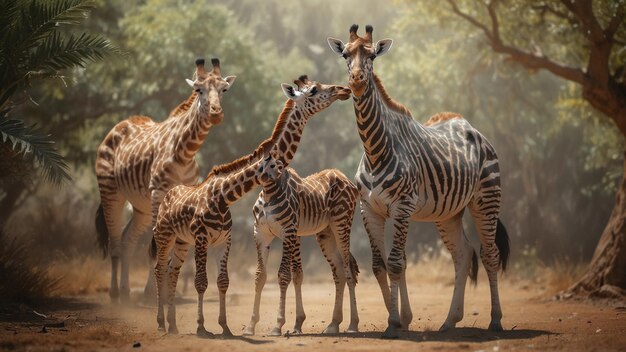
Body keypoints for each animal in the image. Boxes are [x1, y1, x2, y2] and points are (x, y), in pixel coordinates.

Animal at [94, 57, 235, 302]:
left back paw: (126, 292)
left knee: (127, 240)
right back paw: (114, 295)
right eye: (198, 90)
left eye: (224, 89)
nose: (216, 114)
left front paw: (169, 293)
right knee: (115, 241)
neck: (186, 152)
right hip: (110, 190)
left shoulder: (184, 197)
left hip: (141, 206)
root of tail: (118, 126)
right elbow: (157, 245)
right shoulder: (158, 192)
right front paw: (152, 293)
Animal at [149, 75, 348, 336]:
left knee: (173, 271)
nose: (343, 90)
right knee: (160, 269)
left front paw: (225, 327)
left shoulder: (225, 238)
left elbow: (224, 281)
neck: (223, 196)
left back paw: (172, 325)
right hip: (165, 236)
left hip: (182, 241)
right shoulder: (204, 237)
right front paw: (203, 327)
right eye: (314, 89)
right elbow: (202, 281)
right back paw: (161, 323)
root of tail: (168, 195)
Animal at [244, 153, 360, 336]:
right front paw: (251, 325)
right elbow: (261, 276)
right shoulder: (261, 235)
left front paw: (278, 325)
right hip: (326, 233)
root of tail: (344, 177)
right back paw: (333, 324)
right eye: (260, 165)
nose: (265, 176)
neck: (269, 195)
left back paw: (353, 325)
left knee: (349, 271)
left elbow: (284, 275)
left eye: (278, 166)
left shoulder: (288, 232)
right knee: (339, 272)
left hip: (342, 223)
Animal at [326, 24, 508, 338]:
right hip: (448, 213)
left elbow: (396, 263)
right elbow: (380, 265)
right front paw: (399, 317)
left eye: (372, 56)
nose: (357, 81)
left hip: (486, 199)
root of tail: (471, 127)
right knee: (463, 255)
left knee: (490, 254)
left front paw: (394, 322)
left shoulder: (402, 206)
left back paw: (495, 321)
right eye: (346, 55)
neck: (375, 149)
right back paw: (449, 321)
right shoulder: (369, 210)